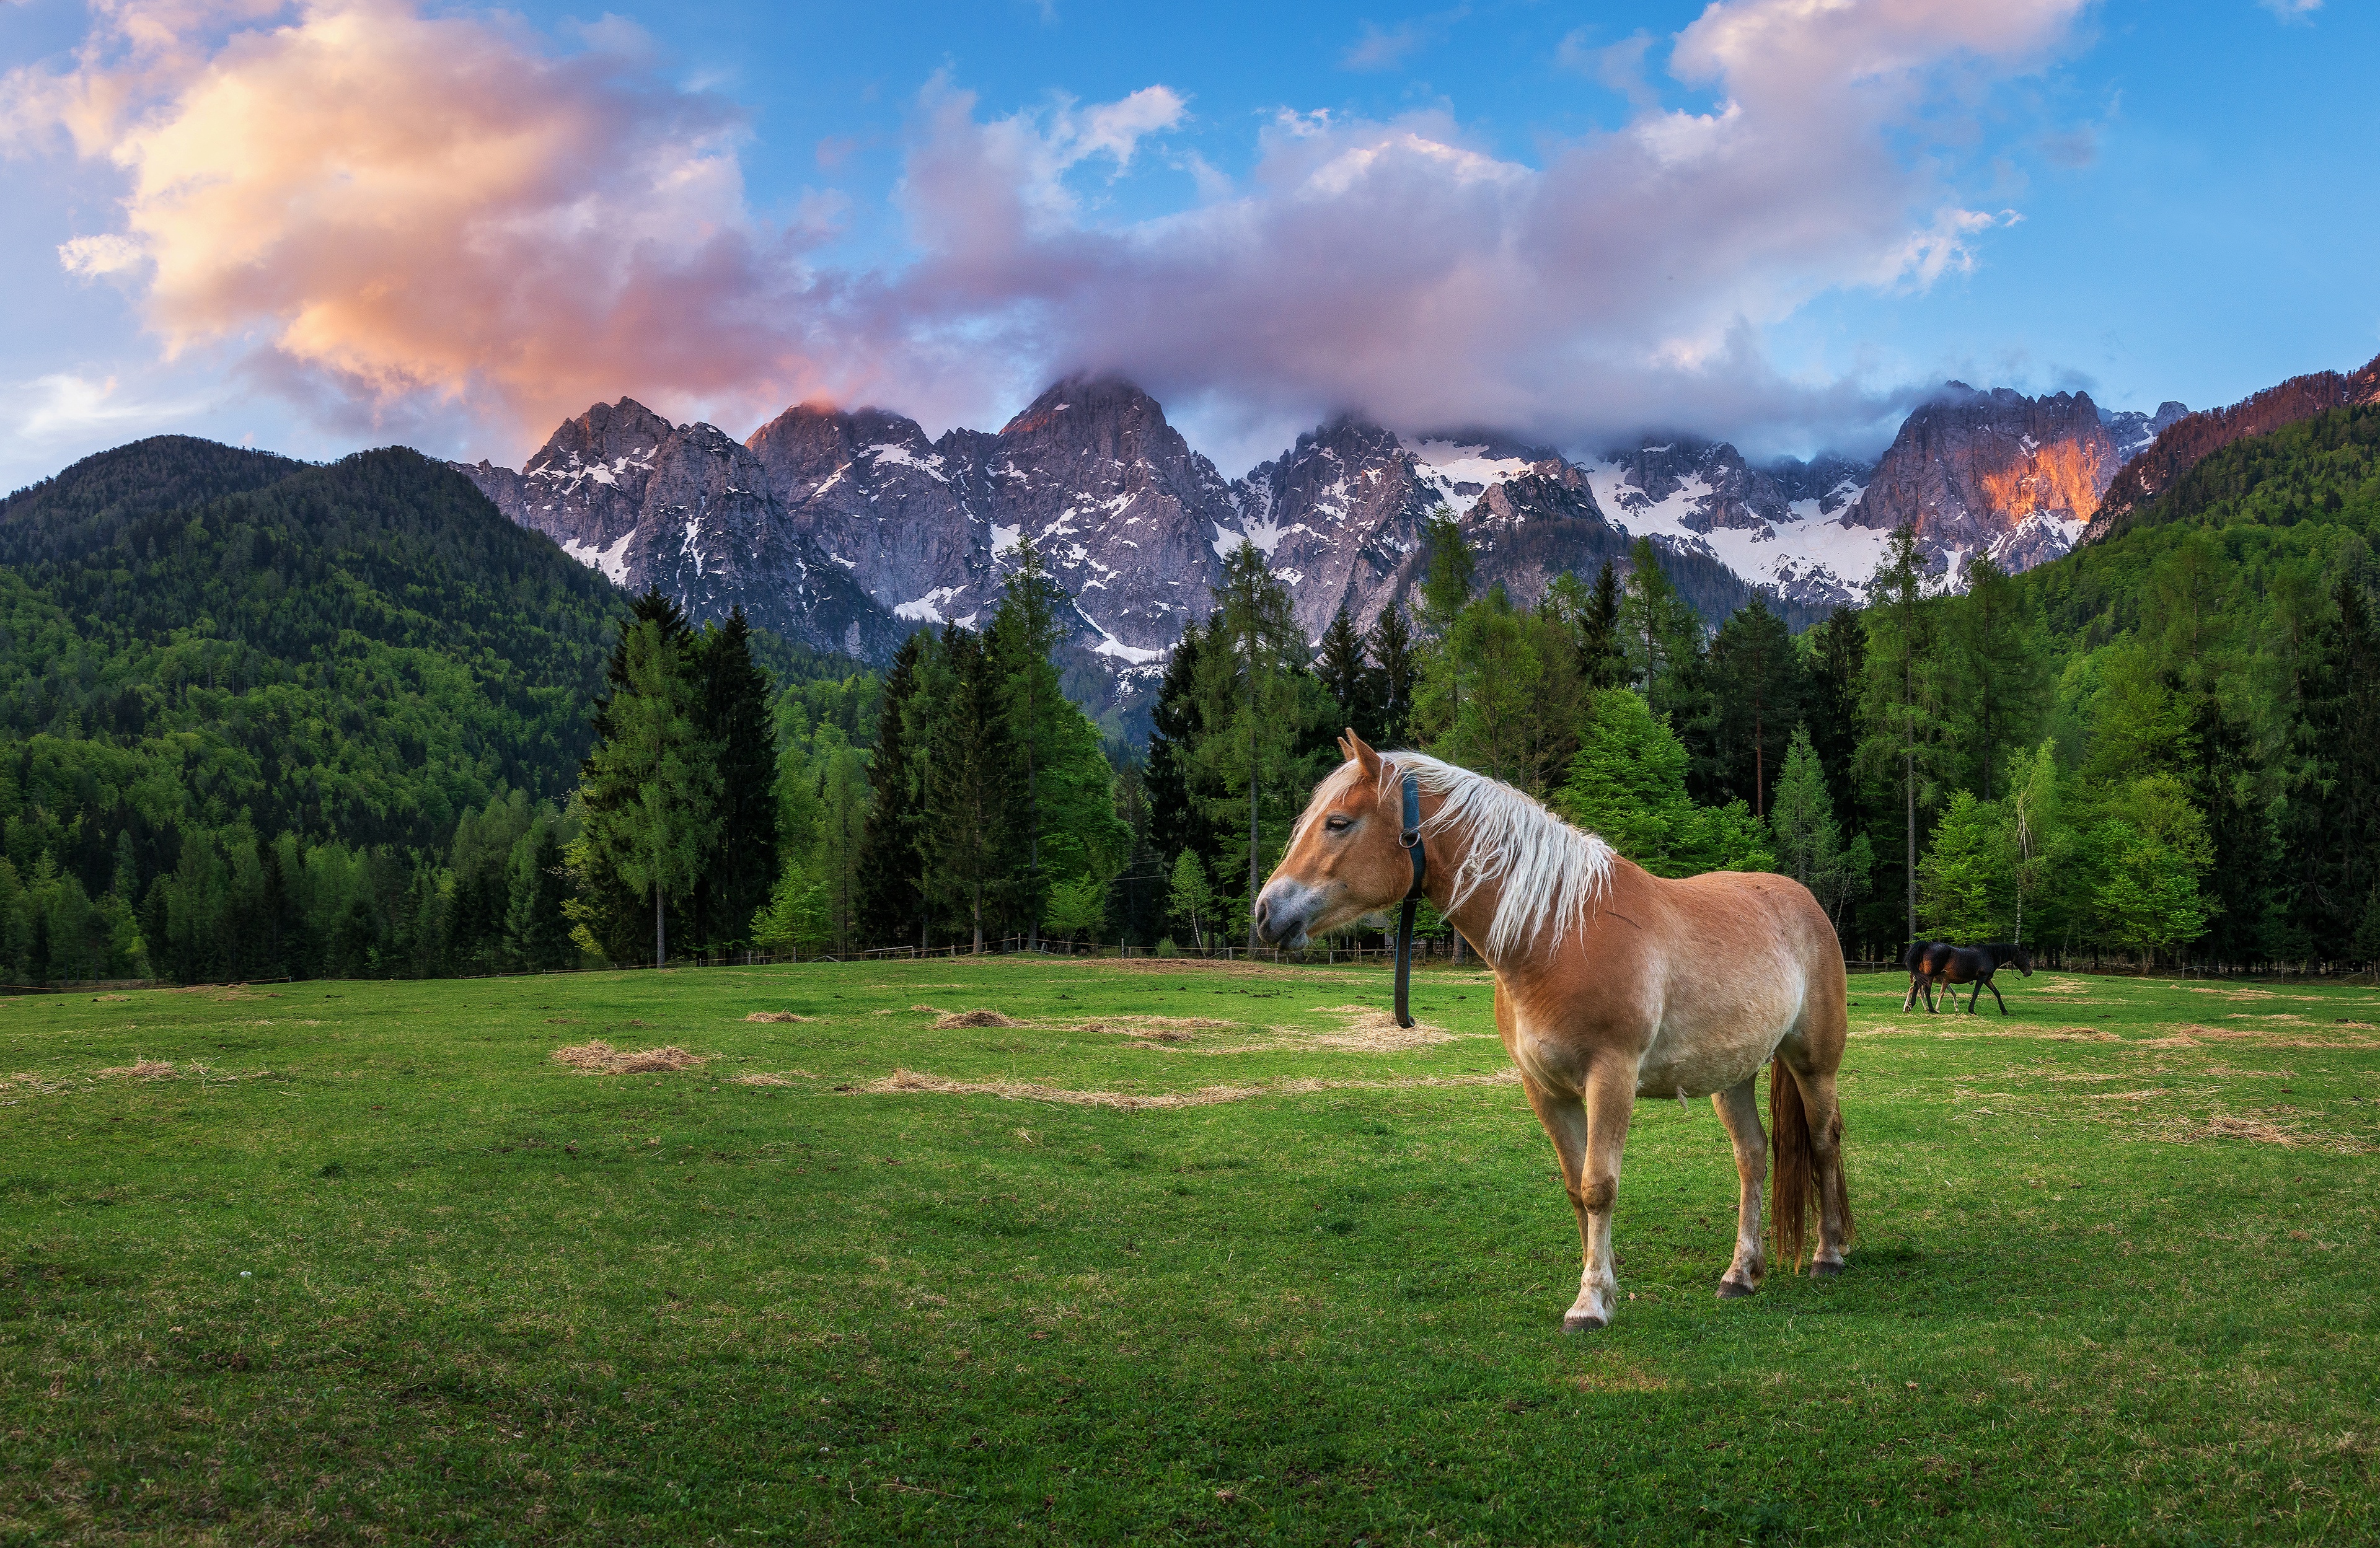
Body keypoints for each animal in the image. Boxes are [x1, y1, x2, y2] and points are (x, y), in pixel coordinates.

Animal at [1256, 737, 1846, 1331]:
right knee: (1752, 1157)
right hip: (1732, 1076)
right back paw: (1740, 1274)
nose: (1266, 912)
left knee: (1824, 1140)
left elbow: (1599, 1186)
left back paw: (1829, 1253)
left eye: (1338, 823)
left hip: (1814, 1064)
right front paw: (1603, 1283)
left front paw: (1589, 1304)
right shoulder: (1544, 1088)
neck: (1556, 935)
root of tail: (1805, 902)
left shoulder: (1611, 1078)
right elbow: (1574, 1187)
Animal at [1913, 946, 2027, 1018]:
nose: (2029, 972)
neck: (1988, 955)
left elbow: (1997, 993)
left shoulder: (1986, 979)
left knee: (1917, 988)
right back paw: (1927, 1008)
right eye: (2025, 957)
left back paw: (1914, 1006)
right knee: (1922, 991)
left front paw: (2004, 1011)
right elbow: (1975, 993)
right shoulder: (1982, 978)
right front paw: (1971, 1010)